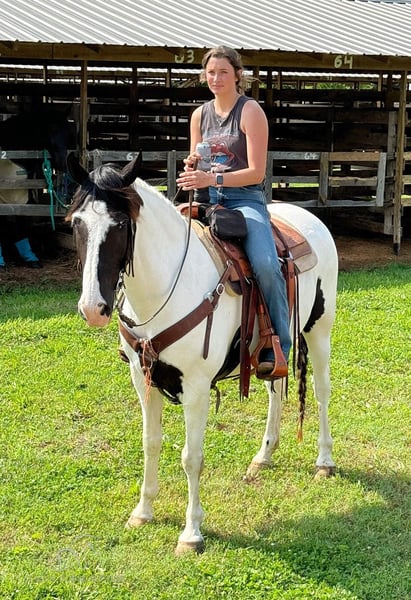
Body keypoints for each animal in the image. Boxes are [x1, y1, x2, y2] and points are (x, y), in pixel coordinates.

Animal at [66, 153, 338, 555]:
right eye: (76, 223)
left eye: (120, 225)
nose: (92, 308)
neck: (166, 288)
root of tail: (308, 218)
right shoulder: (142, 378)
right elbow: (150, 443)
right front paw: (142, 511)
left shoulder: (195, 387)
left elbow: (191, 458)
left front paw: (191, 533)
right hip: (271, 349)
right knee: (275, 390)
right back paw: (263, 457)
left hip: (320, 330)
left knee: (321, 393)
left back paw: (324, 461)